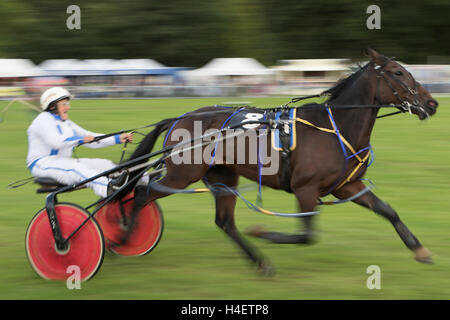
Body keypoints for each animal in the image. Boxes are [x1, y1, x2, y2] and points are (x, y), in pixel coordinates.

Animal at [115, 48, 436, 274]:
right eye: (397, 72)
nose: (431, 103)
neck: (335, 128)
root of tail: (179, 118)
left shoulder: (347, 185)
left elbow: (387, 210)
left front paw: (419, 250)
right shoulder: (306, 189)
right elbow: (306, 235)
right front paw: (263, 232)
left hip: (222, 176)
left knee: (224, 221)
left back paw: (259, 262)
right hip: (183, 174)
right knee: (142, 193)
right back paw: (124, 237)